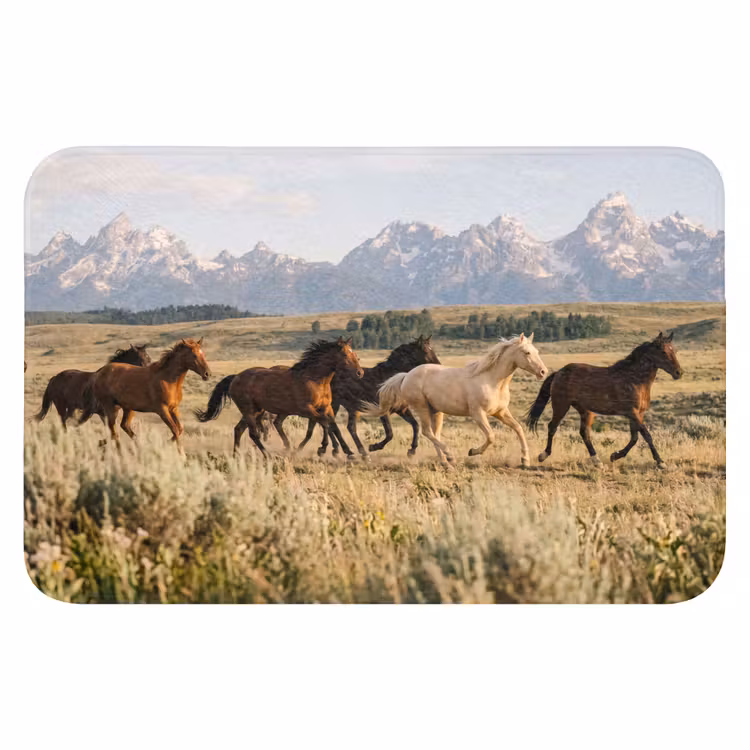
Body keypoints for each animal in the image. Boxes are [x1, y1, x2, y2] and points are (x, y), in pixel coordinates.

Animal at [79, 338, 211, 450]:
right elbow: (175, 430)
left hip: (127, 408)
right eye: (194, 355)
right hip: (111, 408)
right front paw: (180, 455)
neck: (168, 380)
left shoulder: (173, 408)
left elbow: (180, 429)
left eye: (203, 354)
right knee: (113, 431)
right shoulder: (162, 410)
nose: (207, 374)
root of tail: (99, 372)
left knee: (122, 427)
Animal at [194, 337, 364, 459]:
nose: (360, 373)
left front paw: (348, 451)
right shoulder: (306, 409)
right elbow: (325, 423)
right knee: (253, 433)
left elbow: (333, 426)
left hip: (256, 411)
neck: (315, 379)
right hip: (249, 410)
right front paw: (324, 448)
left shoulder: (326, 408)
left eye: (355, 354)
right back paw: (268, 454)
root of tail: (235, 377)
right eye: (345, 354)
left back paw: (236, 455)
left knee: (239, 430)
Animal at [296, 335, 441, 458]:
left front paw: (412, 451)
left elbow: (415, 426)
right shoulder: (383, 411)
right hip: (335, 404)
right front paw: (374, 446)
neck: (390, 378)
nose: (438, 365)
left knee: (343, 427)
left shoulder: (402, 410)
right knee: (330, 424)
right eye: (425, 350)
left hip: (348, 407)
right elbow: (390, 433)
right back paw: (340, 450)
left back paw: (336, 450)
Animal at [363, 333, 547, 466]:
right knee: (427, 432)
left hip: (436, 411)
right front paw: (472, 451)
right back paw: (450, 456)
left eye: (538, 352)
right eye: (527, 352)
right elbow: (491, 436)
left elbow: (518, 428)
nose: (543, 372)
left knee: (434, 433)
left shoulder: (500, 412)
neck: (492, 380)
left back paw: (445, 462)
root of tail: (405, 376)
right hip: (422, 408)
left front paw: (525, 460)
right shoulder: (478, 414)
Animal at [525, 331, 682, 468]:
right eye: (663, 352)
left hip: (586, 411)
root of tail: (559, 372)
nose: (678, 373)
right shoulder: (632, 412)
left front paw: (615, 455)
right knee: (552, 426)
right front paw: (661, 462)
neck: (634, 379)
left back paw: (597, 461)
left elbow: (634, 438)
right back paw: (543, 455)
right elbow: (646, 435)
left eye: (674, 350)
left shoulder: (638, 413)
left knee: (584, 433)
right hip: (561, 405)